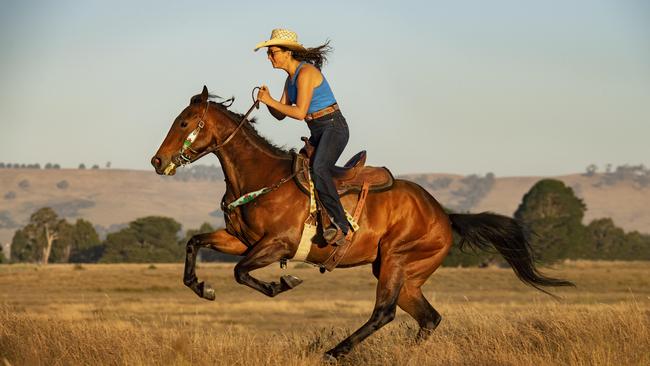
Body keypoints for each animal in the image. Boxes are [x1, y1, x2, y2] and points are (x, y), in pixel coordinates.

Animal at [151, 86, 572, 360]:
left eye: (185, 122)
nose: (157, 161)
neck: (262, 177)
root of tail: (443, 215)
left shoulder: (277, 244)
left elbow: (241, 272)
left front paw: (282, 284)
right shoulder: (239, 240)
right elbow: (194, 244)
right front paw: (202, 287)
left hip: (395, 261)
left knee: (384, 312)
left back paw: (335, 352)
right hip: (404, 275)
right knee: (428, 318)